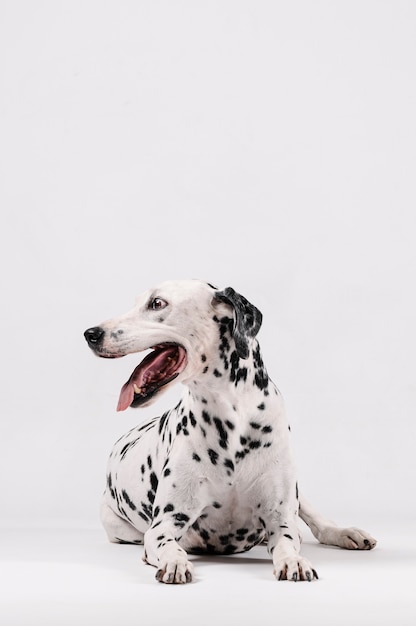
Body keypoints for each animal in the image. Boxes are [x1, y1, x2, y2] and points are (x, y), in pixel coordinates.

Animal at [84, 278, 376, 580]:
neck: (231, 423)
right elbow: (168, 545)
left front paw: (293, 561)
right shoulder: (163, 524)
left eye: (157, 303)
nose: (91, 334)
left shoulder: (281, 517)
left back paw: (346, 533)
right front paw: (174, 562)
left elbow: (287, 541)